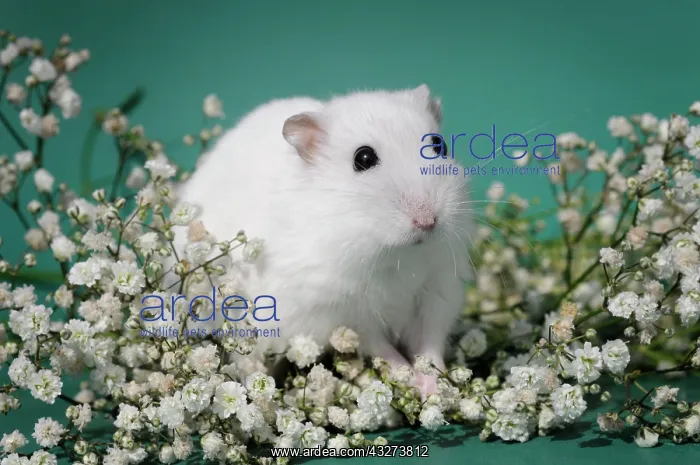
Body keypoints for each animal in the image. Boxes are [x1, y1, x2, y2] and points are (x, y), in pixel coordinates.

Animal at [172, 85, 472, 396]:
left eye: (439, 145)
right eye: (363, 158)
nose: (427, 221)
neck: (396, 253)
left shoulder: (437, 290)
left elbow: (429, 345)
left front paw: (435, 388)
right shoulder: (346, 314)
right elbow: (382, 348)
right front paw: (412, 379)